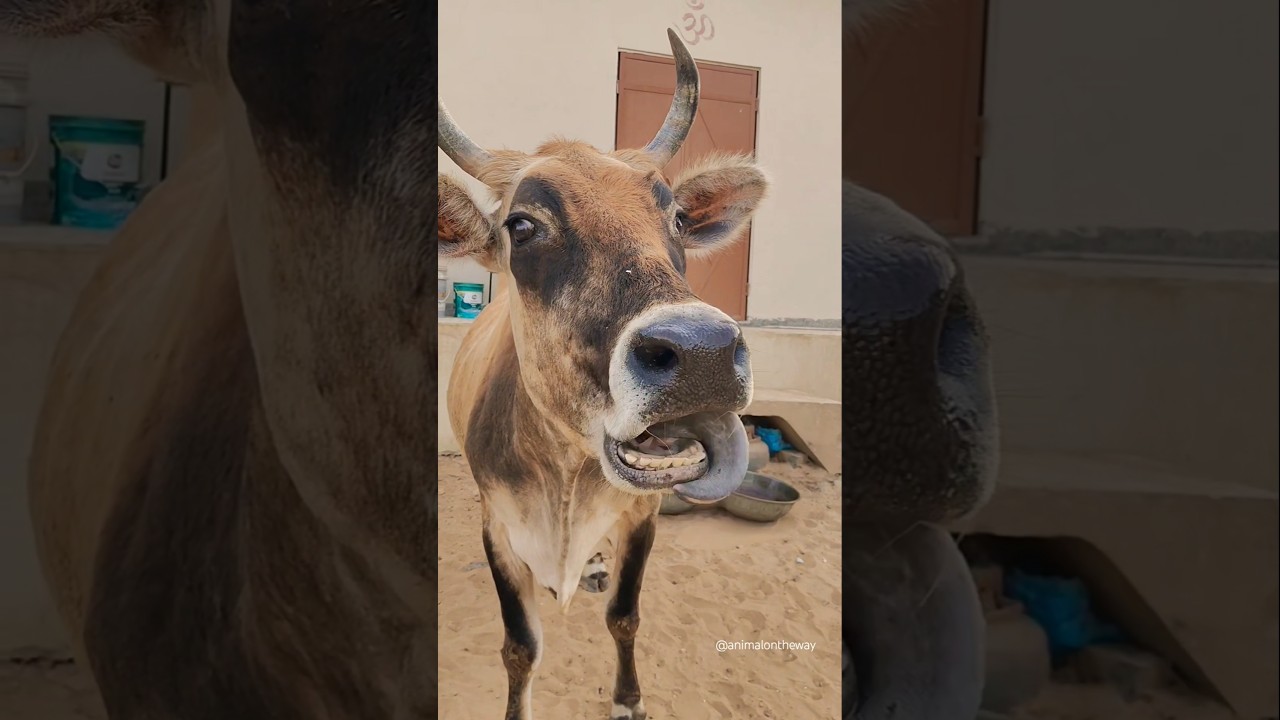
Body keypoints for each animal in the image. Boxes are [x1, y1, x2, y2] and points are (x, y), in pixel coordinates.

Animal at [438, 30, 768, 720]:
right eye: (522, 225)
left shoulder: (643, 514)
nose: (703, 353)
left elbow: (624, 614)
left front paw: (628, 700)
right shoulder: (497, 528)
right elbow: (520, 646)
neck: (566, 473)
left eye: (677, 219)